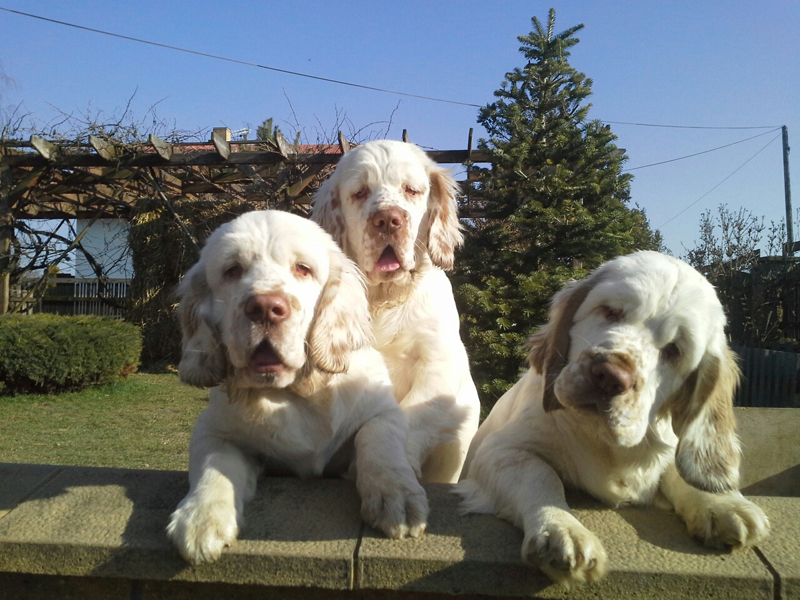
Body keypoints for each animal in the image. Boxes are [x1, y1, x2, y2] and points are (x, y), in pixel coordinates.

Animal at [169, 210, 428, 564]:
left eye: (303, 268)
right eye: (232, 270)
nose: (265, 307)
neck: (296, 393)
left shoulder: (382, 412)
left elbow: (379, 442)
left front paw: (398, 497)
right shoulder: (215, 429)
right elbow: (214, 464)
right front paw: (199, 521)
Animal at [310, 139, 478, 482]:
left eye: (412, 190)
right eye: (360, 192)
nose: (388, 220)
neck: (383, 298)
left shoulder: (439, 363)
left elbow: (407, 415)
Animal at [456, 251, 768, 584]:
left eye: (674, 350)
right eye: (610, 311)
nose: (608, 376)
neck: (601, 436)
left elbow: (678, 468)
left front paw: (722, 503)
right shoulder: (501, 449)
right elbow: (540, 473)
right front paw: (562, 531)